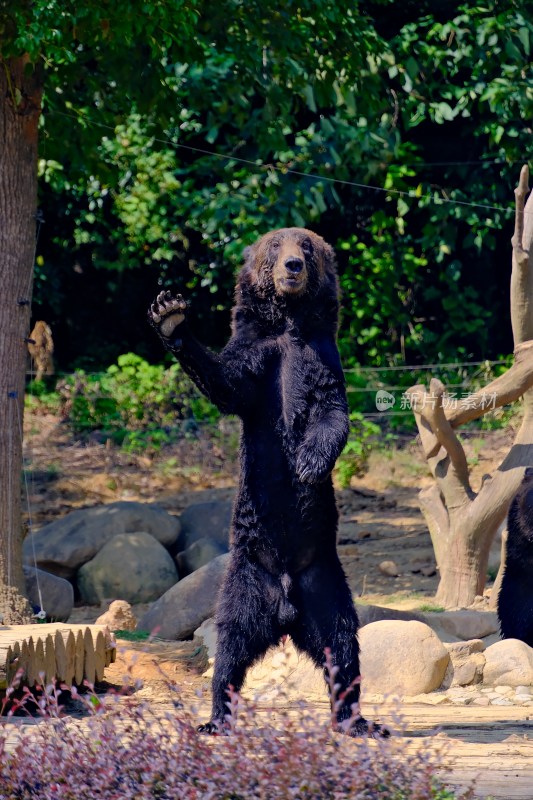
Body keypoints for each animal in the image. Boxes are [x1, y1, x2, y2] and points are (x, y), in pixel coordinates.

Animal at [150, 227, 382, 736]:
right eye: (276, 247)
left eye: (307, 247)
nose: (293, 265)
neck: (288, 328)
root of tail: (286, 607)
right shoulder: (257, 359)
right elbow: (225, 383)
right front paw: (170, 313)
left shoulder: (320, 358)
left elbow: (332, 414)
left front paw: (308, 464)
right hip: (246, 577)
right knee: (232, 644)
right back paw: (217, 717)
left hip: (324, 582)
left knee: (342, 644)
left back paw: (356, 720)